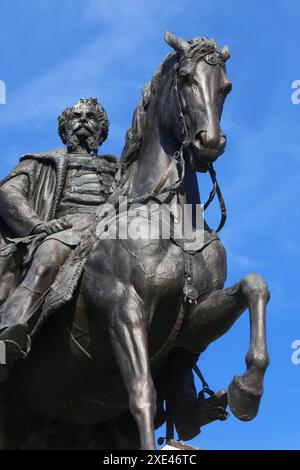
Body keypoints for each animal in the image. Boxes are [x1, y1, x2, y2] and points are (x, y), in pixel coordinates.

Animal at [0, 31, 270, 450]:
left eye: (226, 87)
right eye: (187, 78)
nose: (209, 143)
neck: (172, 222)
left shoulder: (195, 319)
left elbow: (255, 286)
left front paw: (248, 390)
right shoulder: (121, 303)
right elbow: (142, 393)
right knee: (45, 257)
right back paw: (11, 334)